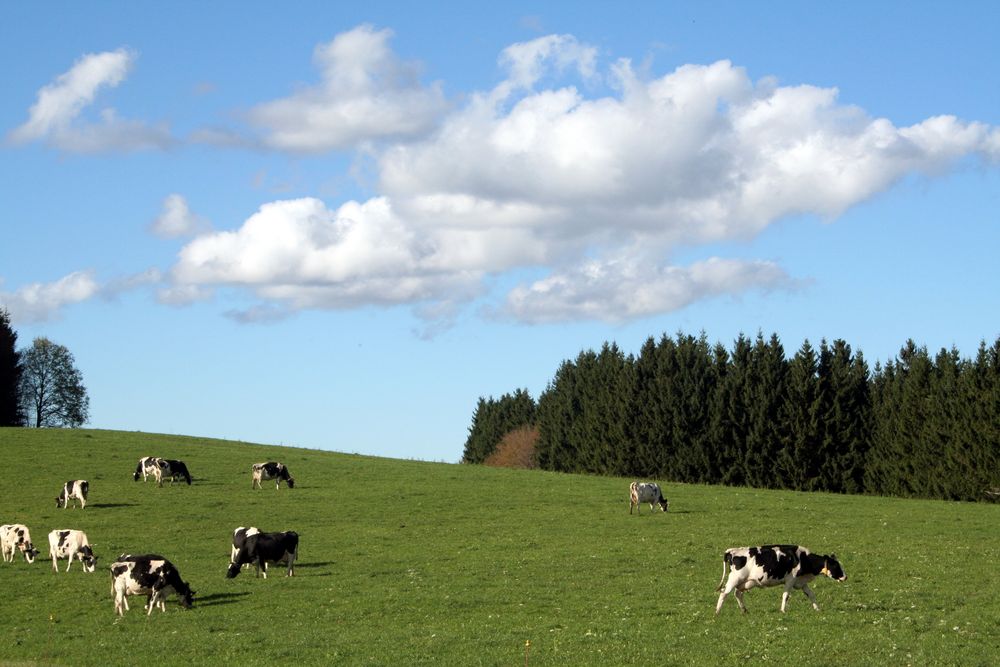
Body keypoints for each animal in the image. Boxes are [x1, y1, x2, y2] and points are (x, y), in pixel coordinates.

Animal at [716, 544, 848, 616]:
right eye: (836, 566)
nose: (845, 577)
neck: (802, 558)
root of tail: (732, 551)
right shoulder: (790, 580)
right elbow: (786, 595)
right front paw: (783, 610)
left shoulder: (801, 582)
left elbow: (811, 594)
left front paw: (817, 609)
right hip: (735, 578)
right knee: (724, 593)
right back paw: (717, 612)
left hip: (745, 582)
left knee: (737, 594)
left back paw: (744, 611)